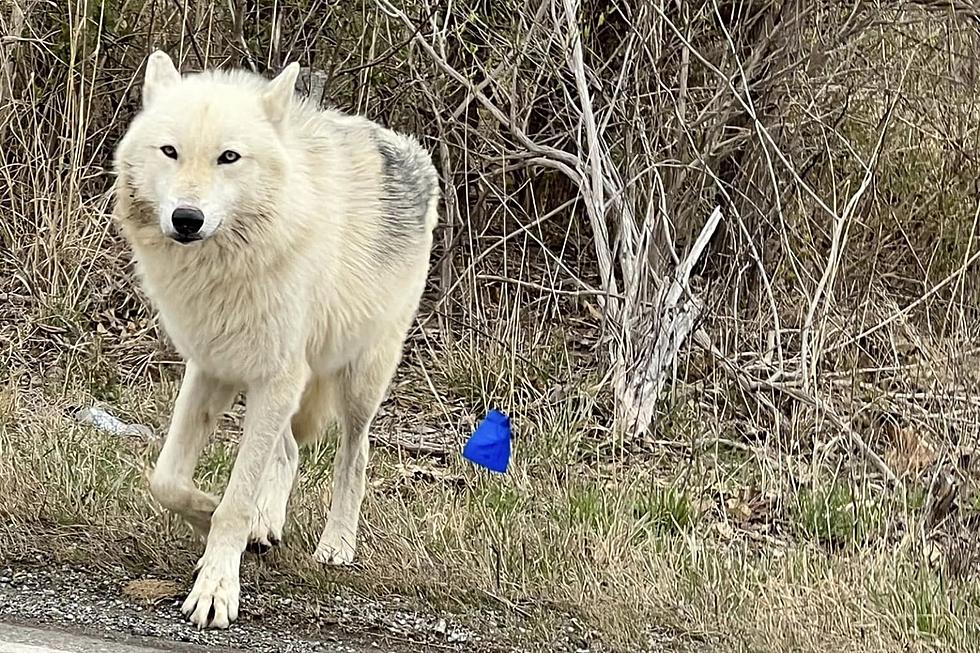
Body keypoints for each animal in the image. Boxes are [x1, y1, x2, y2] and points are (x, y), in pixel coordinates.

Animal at [109, 51, 438, 628]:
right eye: (170, 151)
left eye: (229, 157)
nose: (187, 219)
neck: (223, 267)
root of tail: (407, 144)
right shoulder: (211, 366)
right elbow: (166, 480)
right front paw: (208, 515)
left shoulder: (275, 376)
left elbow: (237, 501)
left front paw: (216, 589)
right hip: (283, 382)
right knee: (287, 450)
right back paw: (267, 525)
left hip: (357, 379)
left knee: (355, 455)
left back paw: (336, 545)